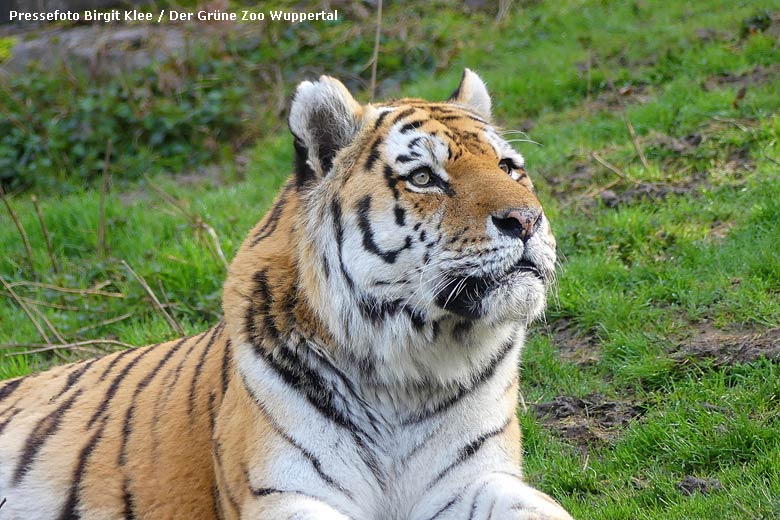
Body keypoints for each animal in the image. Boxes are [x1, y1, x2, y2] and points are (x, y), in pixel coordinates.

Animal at [0, 69, 568, 520]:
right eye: (425, 177)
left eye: (509, 168)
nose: (526, 221)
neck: (410, 370)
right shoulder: (282, 493)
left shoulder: (477, 480)